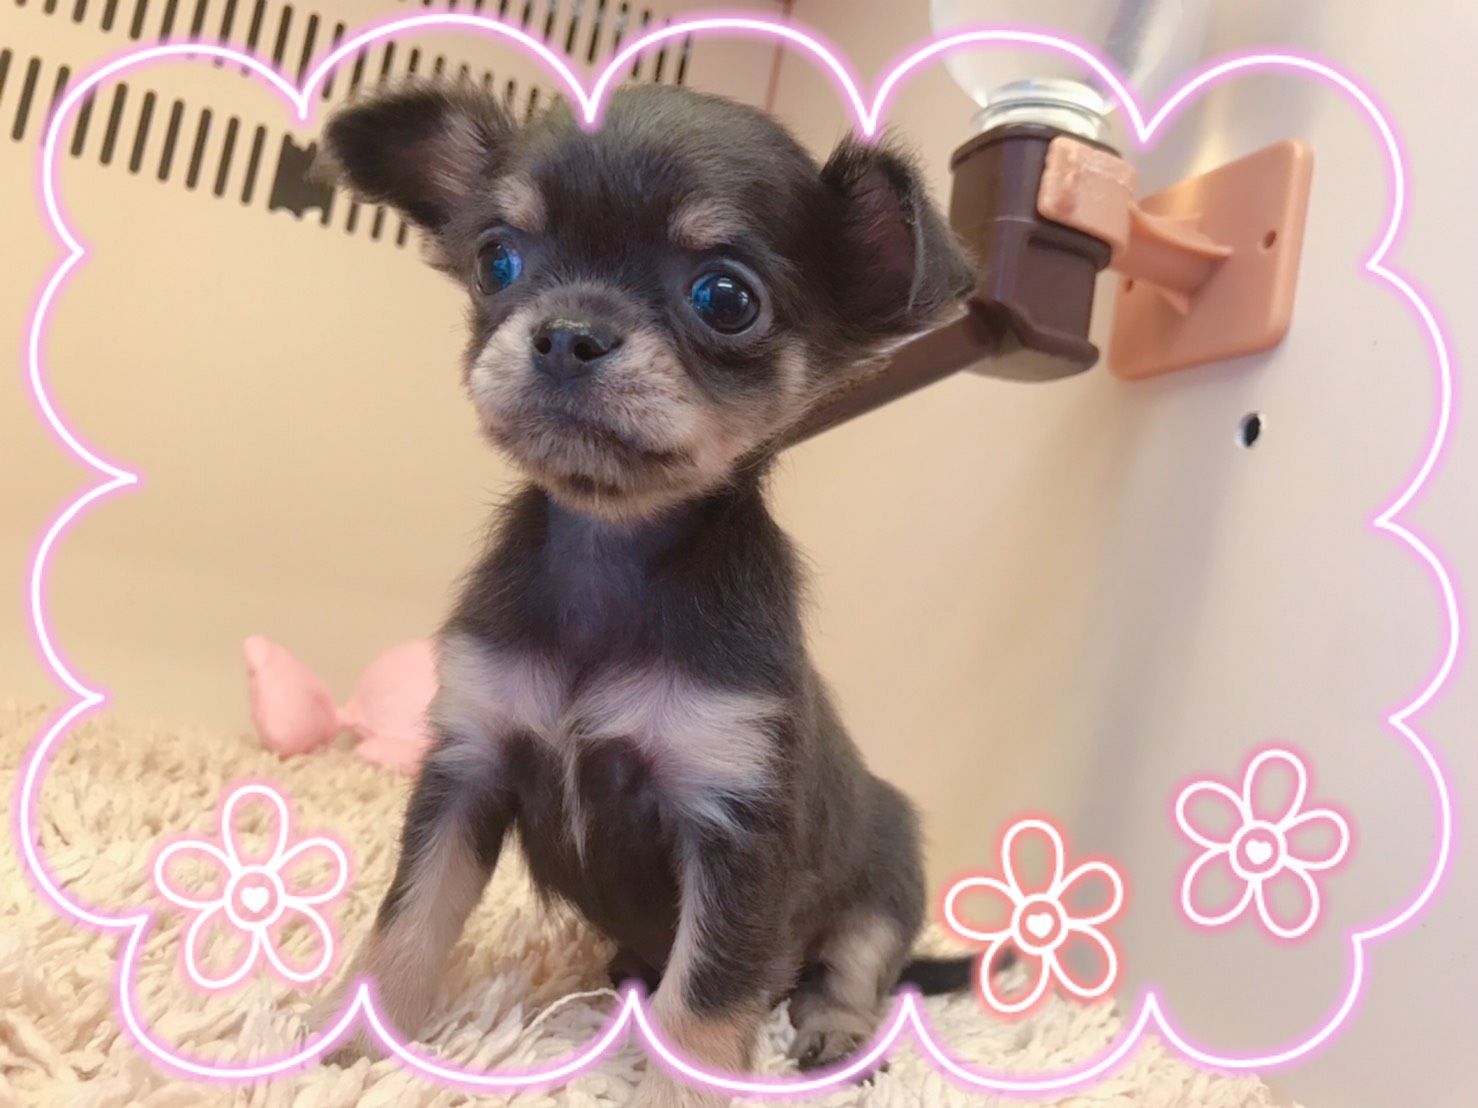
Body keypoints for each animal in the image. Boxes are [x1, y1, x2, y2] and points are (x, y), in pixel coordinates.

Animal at [314, 80, 986, 1106]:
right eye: (497, 260)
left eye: (726, 299)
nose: (567, 334)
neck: (611, 551)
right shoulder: (466, 773)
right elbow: (409, 925)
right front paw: (351, 1040)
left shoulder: (734, 831)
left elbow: (705, 1003)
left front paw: (691, 1087)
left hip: (885, 873)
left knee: (856, 969)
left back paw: (836, 1035)